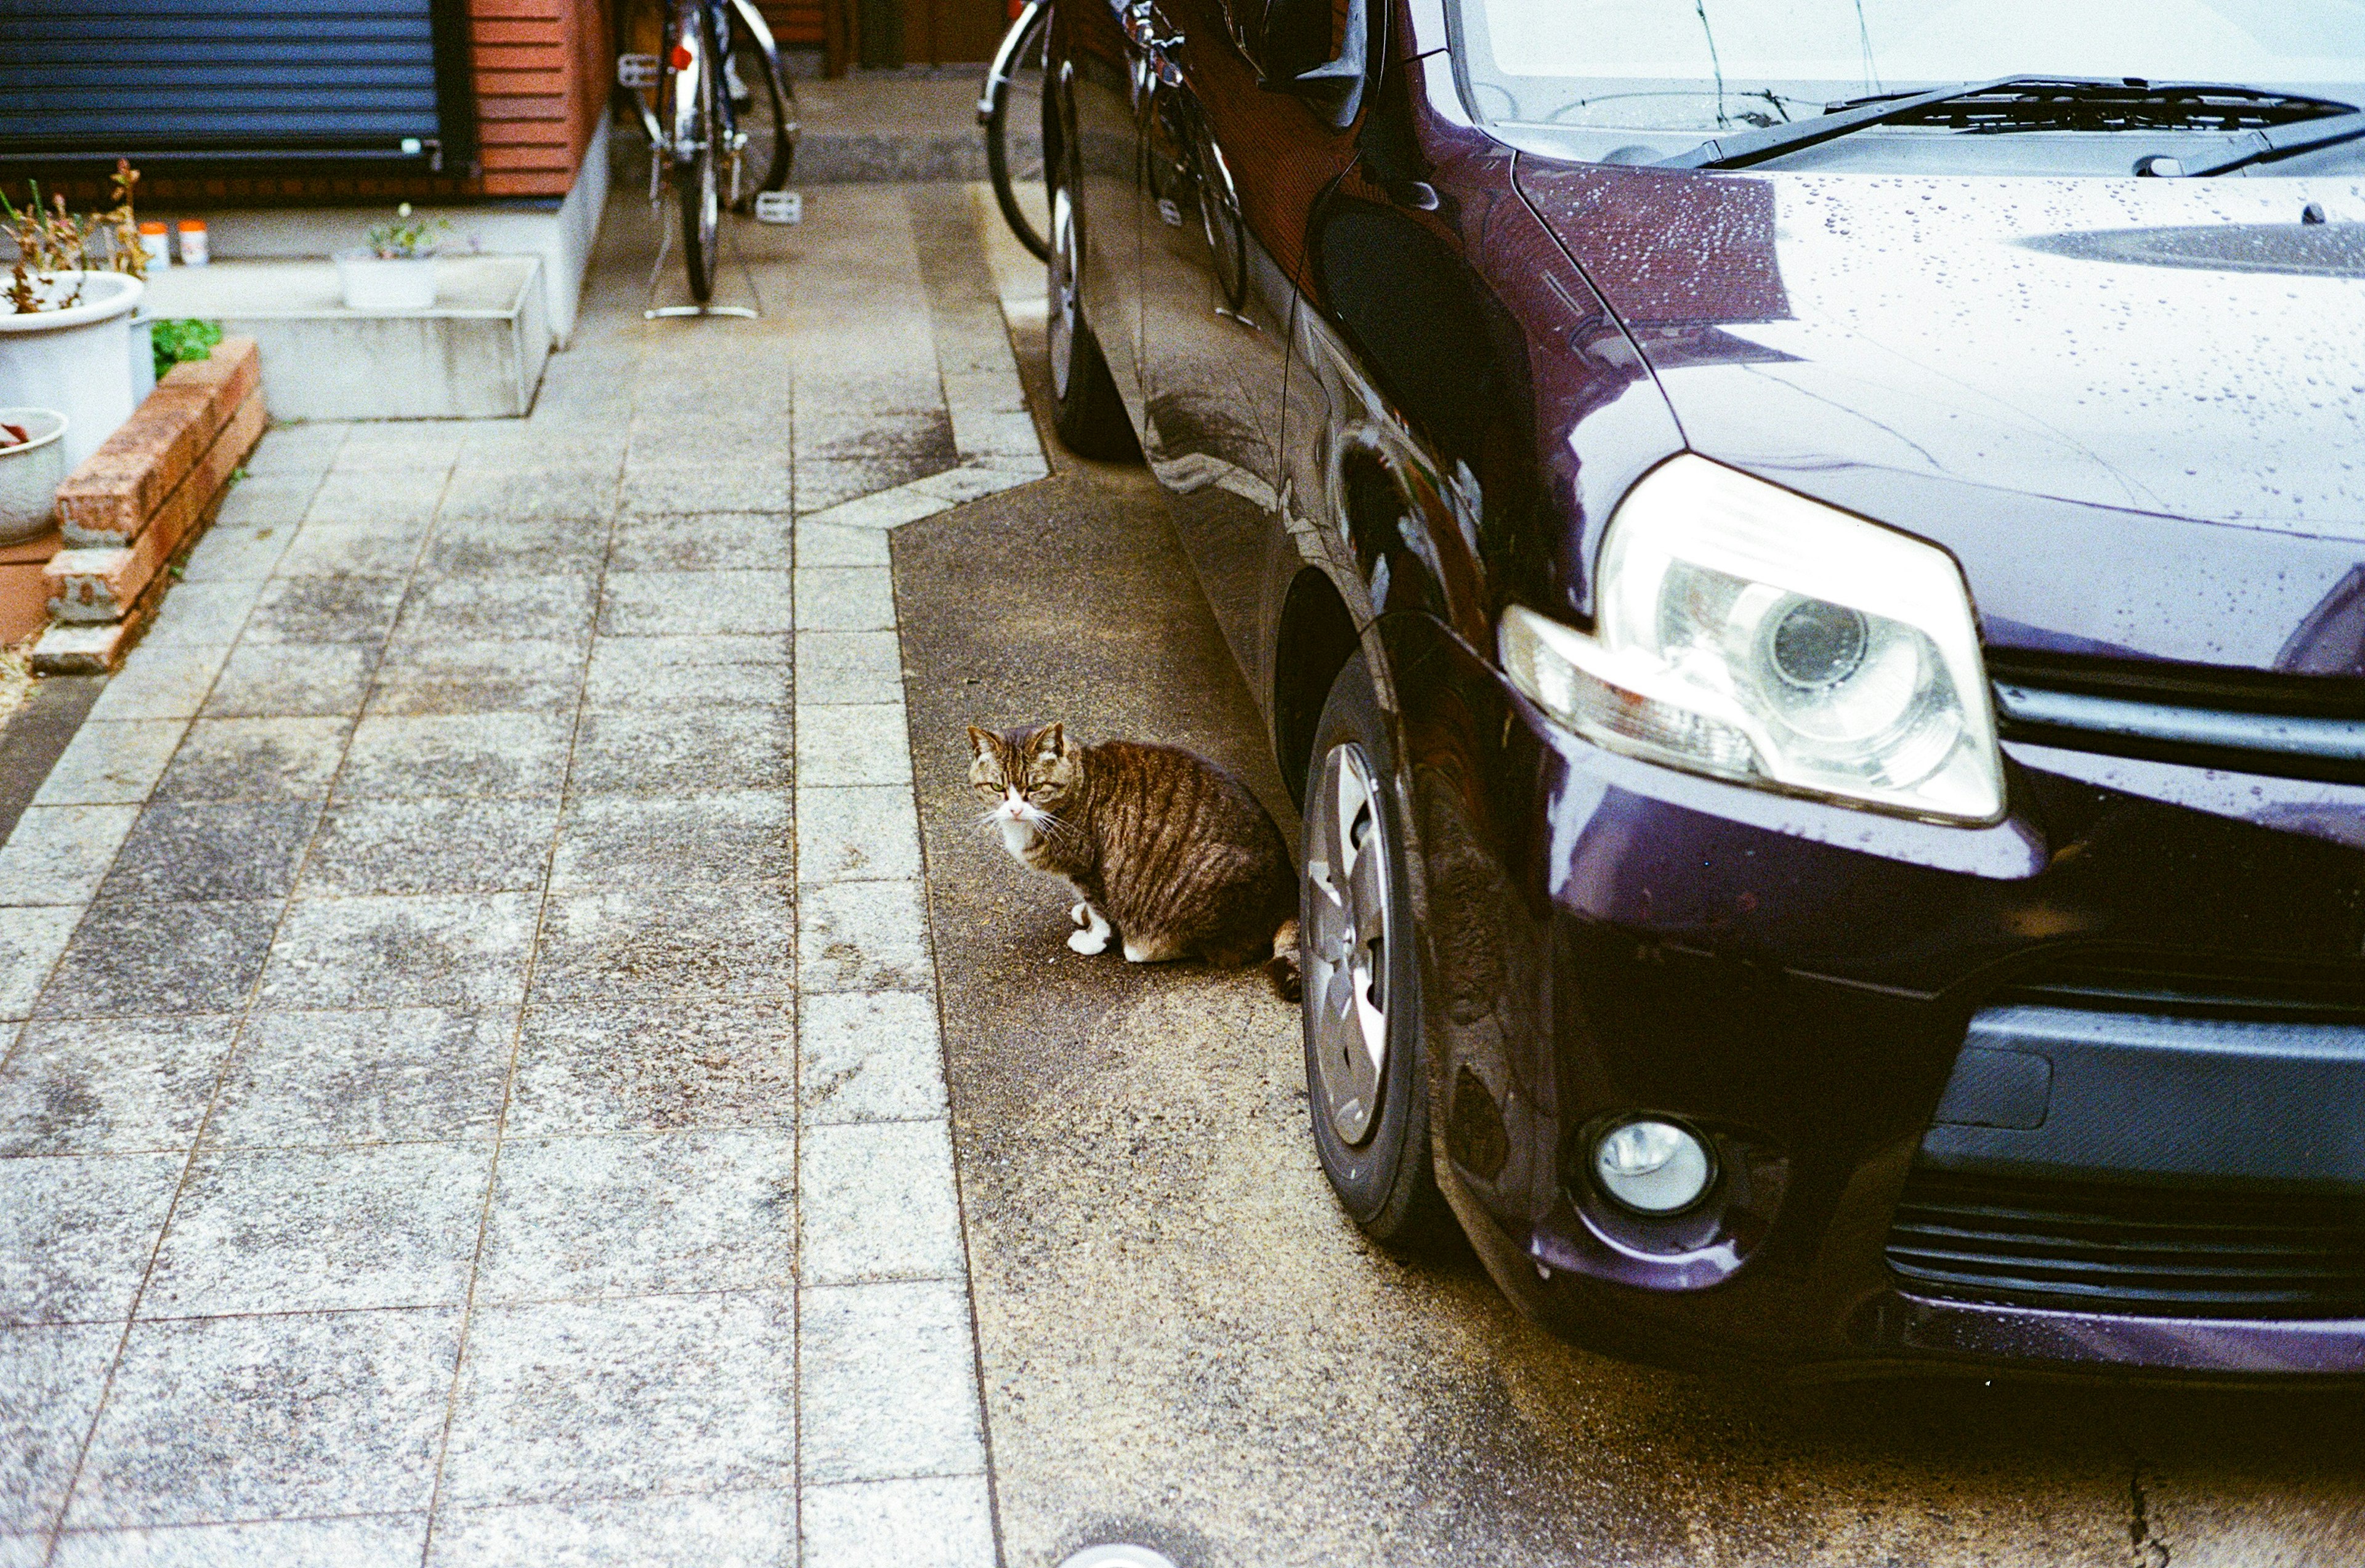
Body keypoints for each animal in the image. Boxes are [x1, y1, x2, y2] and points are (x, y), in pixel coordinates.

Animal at [960, 719, 1305, 998]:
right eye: (997, 787)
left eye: (1035, 787)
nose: (1015, 809)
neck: (1080, 782)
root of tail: (1291, 887)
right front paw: (1082, 913)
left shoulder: (1090, 869)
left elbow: (1100, 912)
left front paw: (1093, 939)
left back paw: (1141, 946)